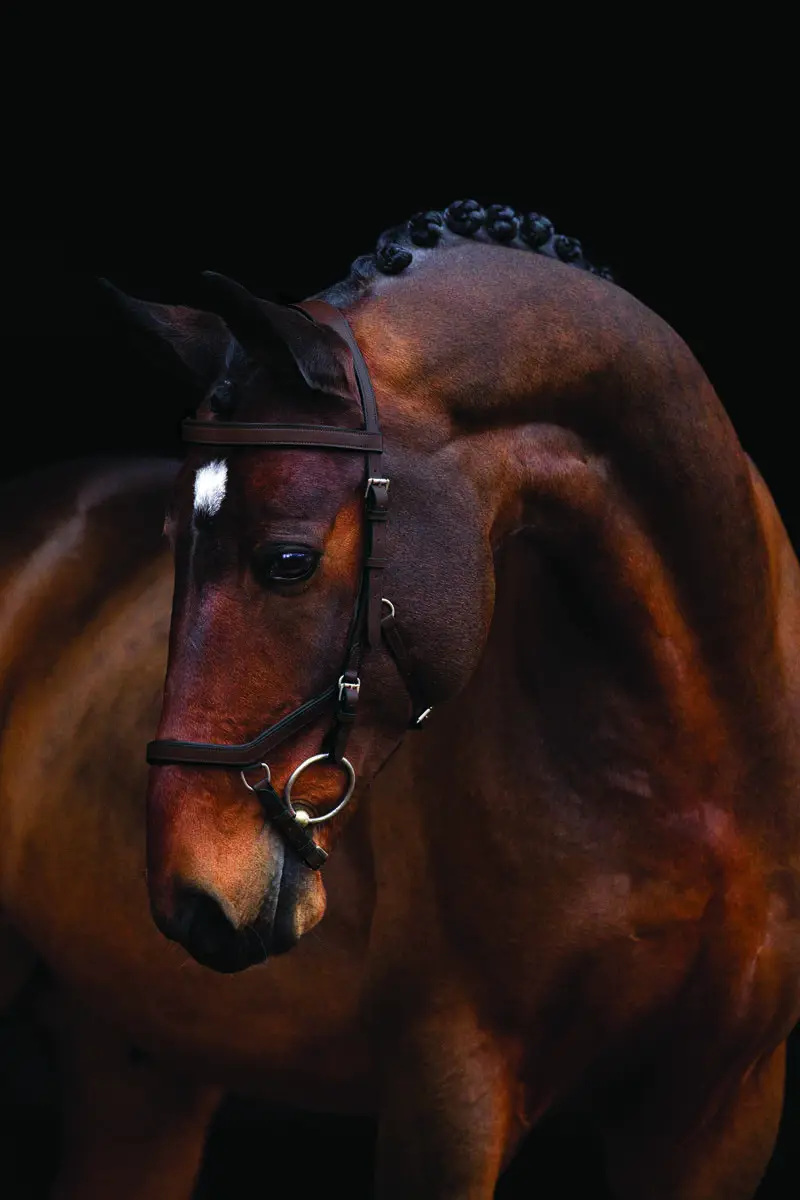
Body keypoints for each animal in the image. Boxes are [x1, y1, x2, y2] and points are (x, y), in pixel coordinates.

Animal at [1, 199, 799, 1200]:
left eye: (289, 561)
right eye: (169, 542)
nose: (189, 892)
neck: (697, 760)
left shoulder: (723, 1109)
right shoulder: (449, 1084)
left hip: (139, 1068)